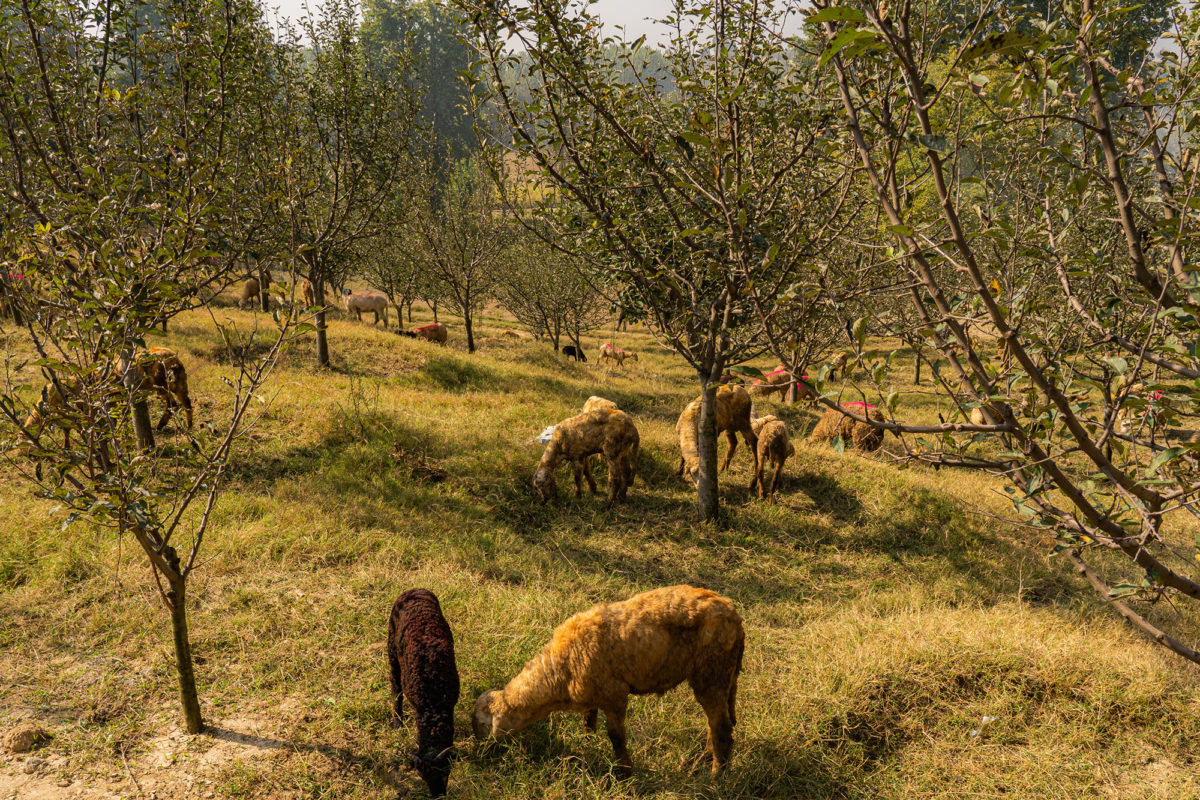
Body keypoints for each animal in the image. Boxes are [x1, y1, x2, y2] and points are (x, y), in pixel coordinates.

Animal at [386, 587, 460, 800]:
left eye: (445, 773)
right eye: (422, 777)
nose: (439, 797)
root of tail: (414, 589)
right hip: (391, 647)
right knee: (395, 687)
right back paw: (397, 721)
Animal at [470, 585, 739, 777]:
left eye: (483, 726)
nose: (479, 754)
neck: (557, 673)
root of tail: (732, 611)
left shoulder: (615, 695)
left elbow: (616, 737)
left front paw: (625, 773)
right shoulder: (593, 696)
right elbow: (589, 720)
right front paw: (588, 738)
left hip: (712, 673)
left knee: (722, 728)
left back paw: (715, 776)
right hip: (721, 677)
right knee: (714, 722)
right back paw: (705, 759)